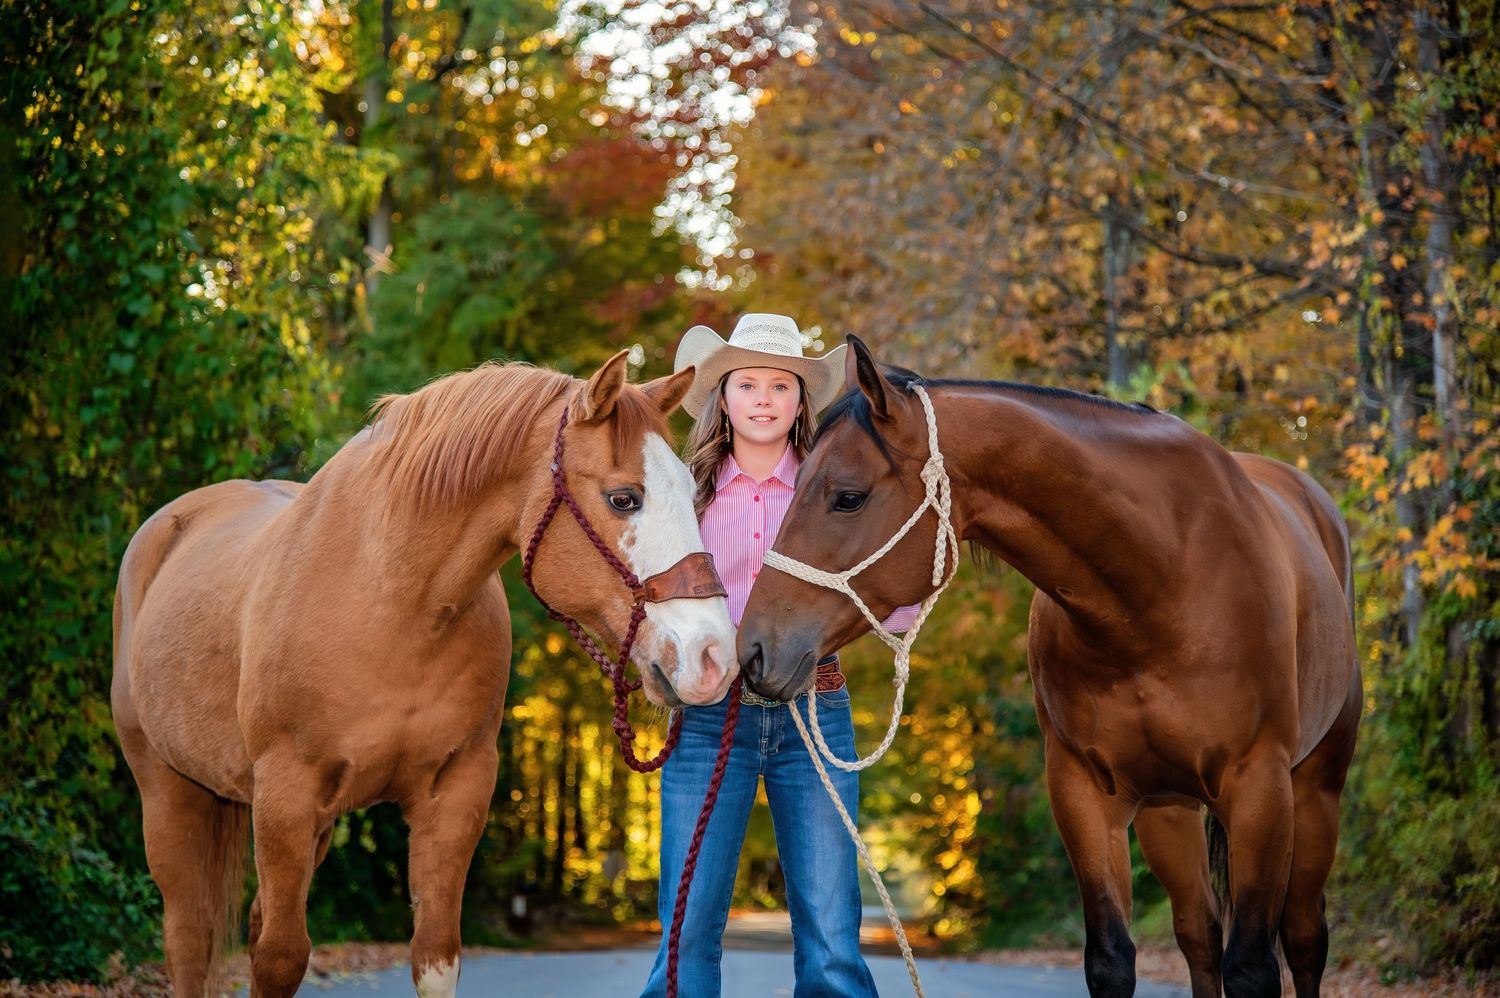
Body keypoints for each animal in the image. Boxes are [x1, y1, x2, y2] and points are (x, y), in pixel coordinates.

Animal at [112, 352, 738, 998]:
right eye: (623, 499)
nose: (713, 656)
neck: (391, 601)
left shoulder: (455, 794)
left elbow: (435, 955)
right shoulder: (285, 794)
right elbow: (279, 957)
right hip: (169, 790)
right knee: (189, 938)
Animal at [737, 336, 1360, 998]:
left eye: (847, 497)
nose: (752, 649)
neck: (1164, 583)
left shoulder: (1259, 788)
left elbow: (1253, 967)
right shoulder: (1080, 791)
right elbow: (1111, 957)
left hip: (1315, 792)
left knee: (1303, 937)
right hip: (1170, 809)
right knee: (1199, 933)